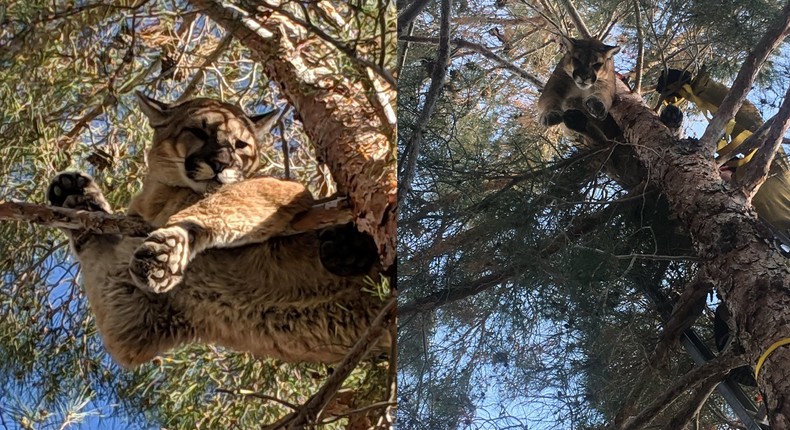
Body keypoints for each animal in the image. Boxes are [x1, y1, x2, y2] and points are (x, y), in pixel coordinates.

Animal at [47, 92, 390, 368]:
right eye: (198, 131)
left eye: (241, 145)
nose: (222, 162)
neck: (160, 198)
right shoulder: (136, 315)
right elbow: (100, 255)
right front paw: (76, 199)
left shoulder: (281, 188)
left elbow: (216, 206)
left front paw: (170, 248)